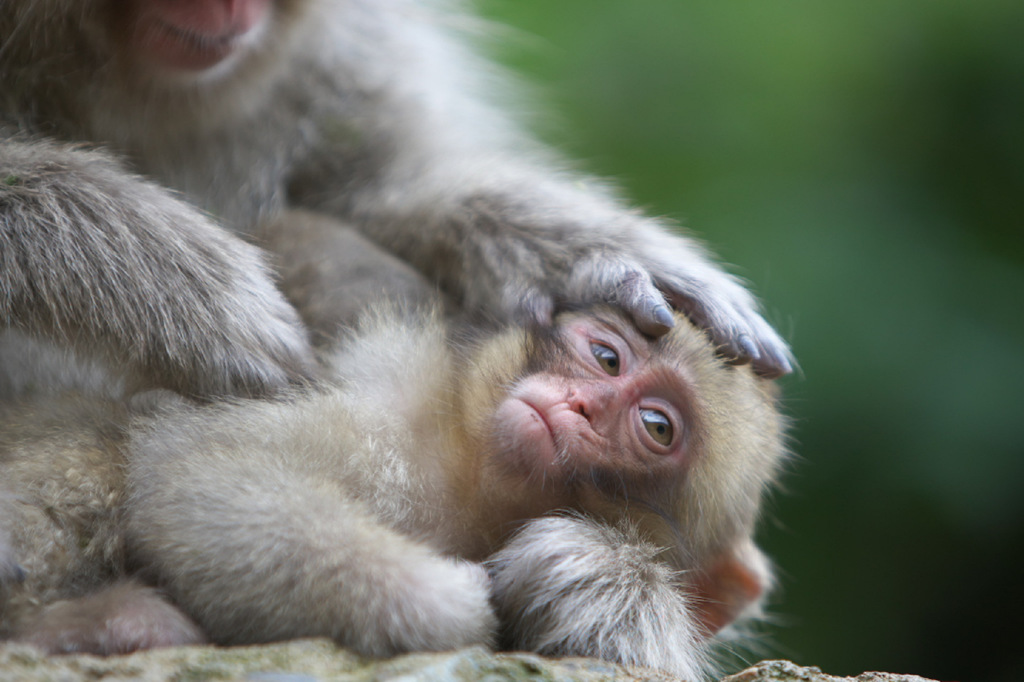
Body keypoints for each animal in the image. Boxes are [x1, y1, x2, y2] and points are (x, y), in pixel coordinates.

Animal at [0, 296, 782, 675]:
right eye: (607, 356)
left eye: (656, 425)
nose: (579, 406)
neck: (475, 501)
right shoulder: (390, 437)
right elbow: (200, 470)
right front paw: (440, 601)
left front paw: (599, 579)